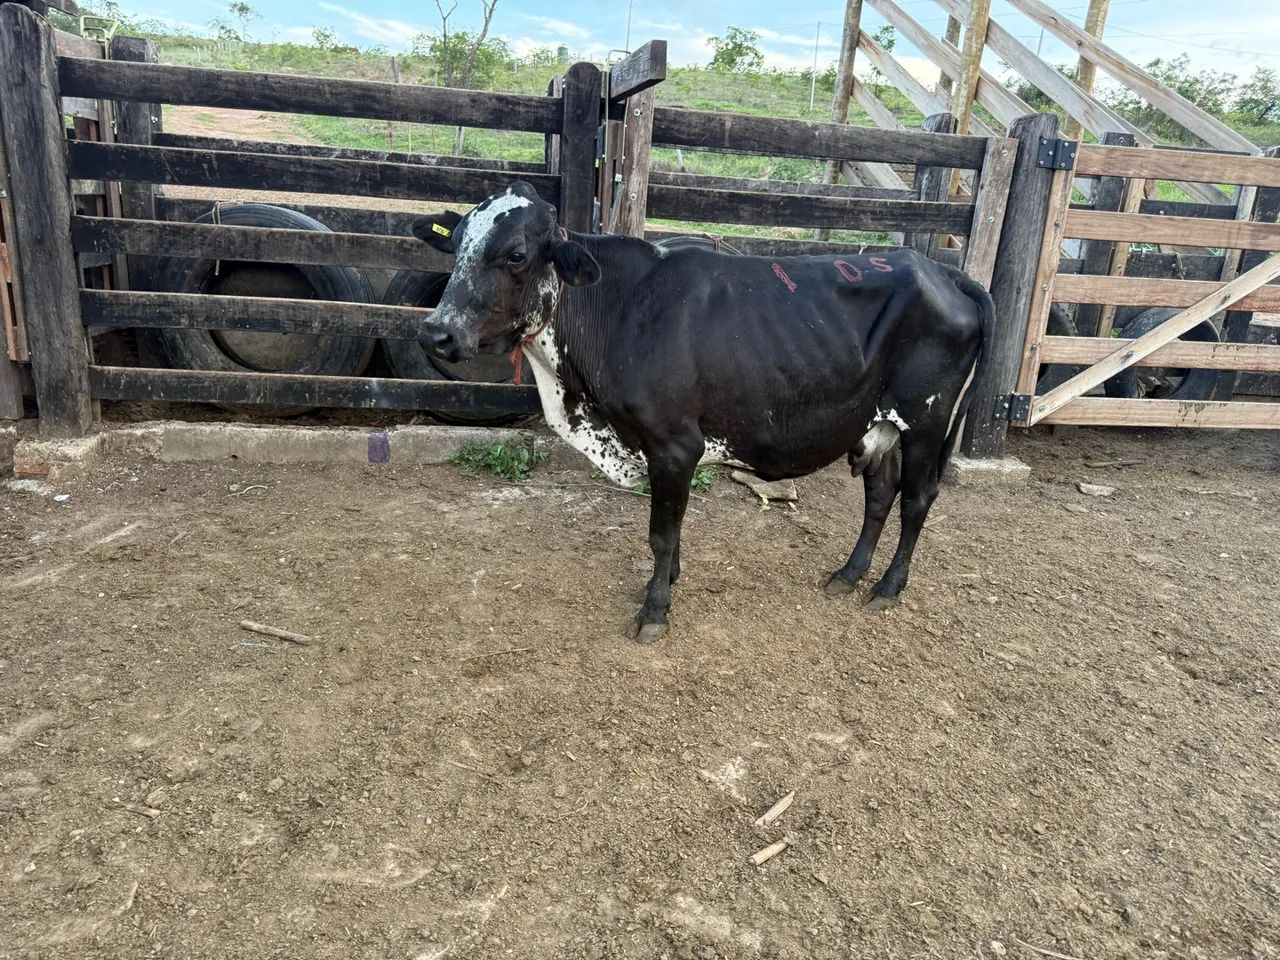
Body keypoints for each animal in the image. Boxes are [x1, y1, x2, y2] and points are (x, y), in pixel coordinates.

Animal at [410, 182, 993, 644]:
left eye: (516, 254)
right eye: (455, 244)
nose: (435, 333)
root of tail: (940, 270)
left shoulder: (673, 445)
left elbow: (661, 532)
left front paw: (654, 609)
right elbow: (671, 530)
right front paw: (668, 581)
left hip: (926, 421)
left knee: (916, 498)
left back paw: (888, 587)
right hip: (878, 423)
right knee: (880, 492)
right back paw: (849, 575)